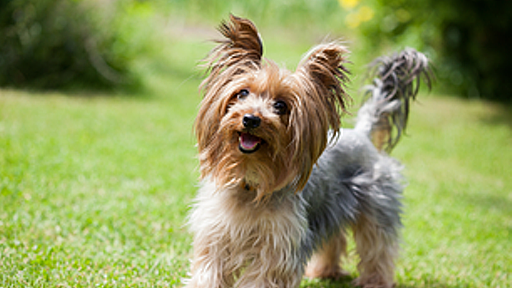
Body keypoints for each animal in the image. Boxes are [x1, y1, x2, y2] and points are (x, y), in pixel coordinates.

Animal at [184, 15, 432, 288]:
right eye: (243, 93)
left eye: (281, 106)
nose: (251, 119)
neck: (251, 179)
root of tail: (363, 133)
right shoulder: (215, 234)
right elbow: (209, 271)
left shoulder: (278, 247)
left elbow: (262, 277)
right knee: (335, 239)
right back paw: (325, 272)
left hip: (376, 203)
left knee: (377, 245)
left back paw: (374, 280)